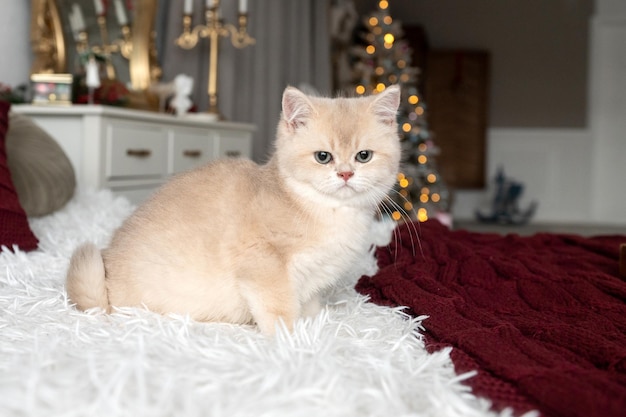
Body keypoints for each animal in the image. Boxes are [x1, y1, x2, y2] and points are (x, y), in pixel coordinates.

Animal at [66, 85, 400, 334]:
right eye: (323, 157)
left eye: (364, 156)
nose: (345, 174)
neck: (319, 207)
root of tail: (107, 286)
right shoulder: (264, 265)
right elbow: (280, 310)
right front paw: (294, 344)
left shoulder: (311, 282)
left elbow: (309, 304)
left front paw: (317, 323)